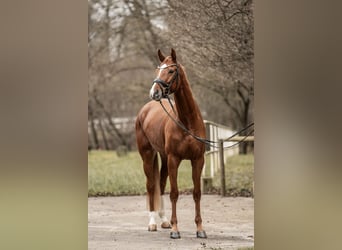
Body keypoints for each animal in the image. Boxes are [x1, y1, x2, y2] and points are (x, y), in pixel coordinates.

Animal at [136, 48, 206, 238]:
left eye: (171, 71)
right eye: (158, 69)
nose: (154, 92)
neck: (187, 122)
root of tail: (146, 109)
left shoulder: (198, 160)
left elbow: (197, 193)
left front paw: (200, 229)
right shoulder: (175, 159)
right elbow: (174, 193)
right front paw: (175, 229)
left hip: (164, 158)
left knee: (160, 184)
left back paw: (164, 220)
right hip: (147, 155)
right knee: (151, 186)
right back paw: (153, 223)